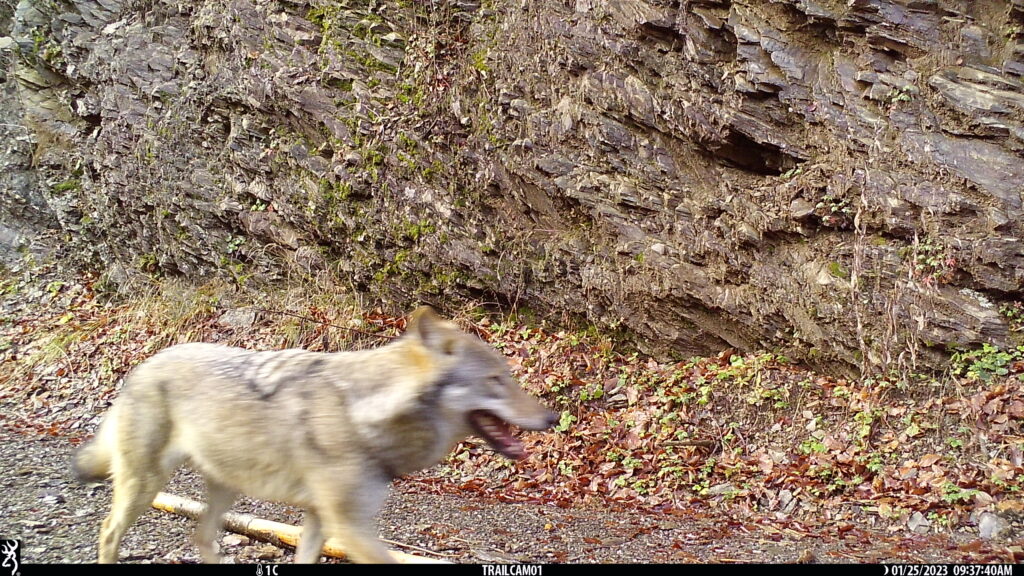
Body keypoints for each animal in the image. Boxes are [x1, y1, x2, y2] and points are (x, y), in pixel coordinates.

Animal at [73, 305, 557, 561]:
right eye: (496, 380)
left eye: (508, 376)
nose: (553, 417)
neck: (363, 411)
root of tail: (141, 366)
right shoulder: (349, 526)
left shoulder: (321, 520)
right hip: (146, 484)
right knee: (109, 532)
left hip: (224, 488)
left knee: (202, 536)